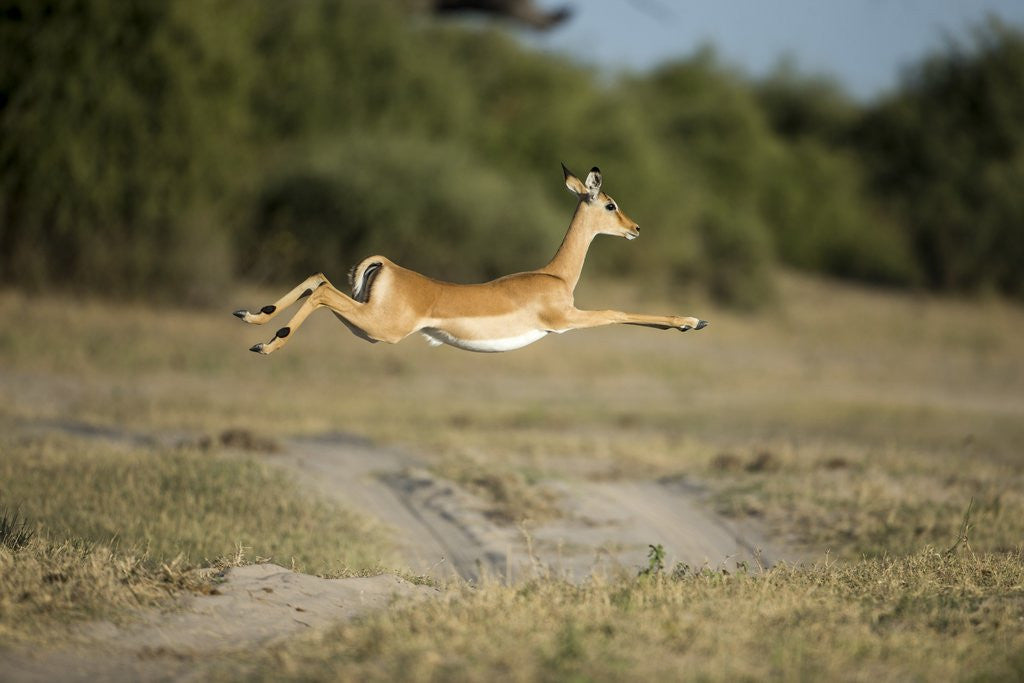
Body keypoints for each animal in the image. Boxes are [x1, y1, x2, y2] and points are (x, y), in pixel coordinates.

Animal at [234, 164, 708, 354]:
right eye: (610, 204)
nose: (636, 228)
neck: (555, 277)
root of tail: (388, 266)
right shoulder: (566, 319)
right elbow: (616, 311)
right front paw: (691, 321)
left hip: (365, 327)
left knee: (318, 279)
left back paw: (251, 317)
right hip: (379, 328)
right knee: (321, 292)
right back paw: (265, 343)